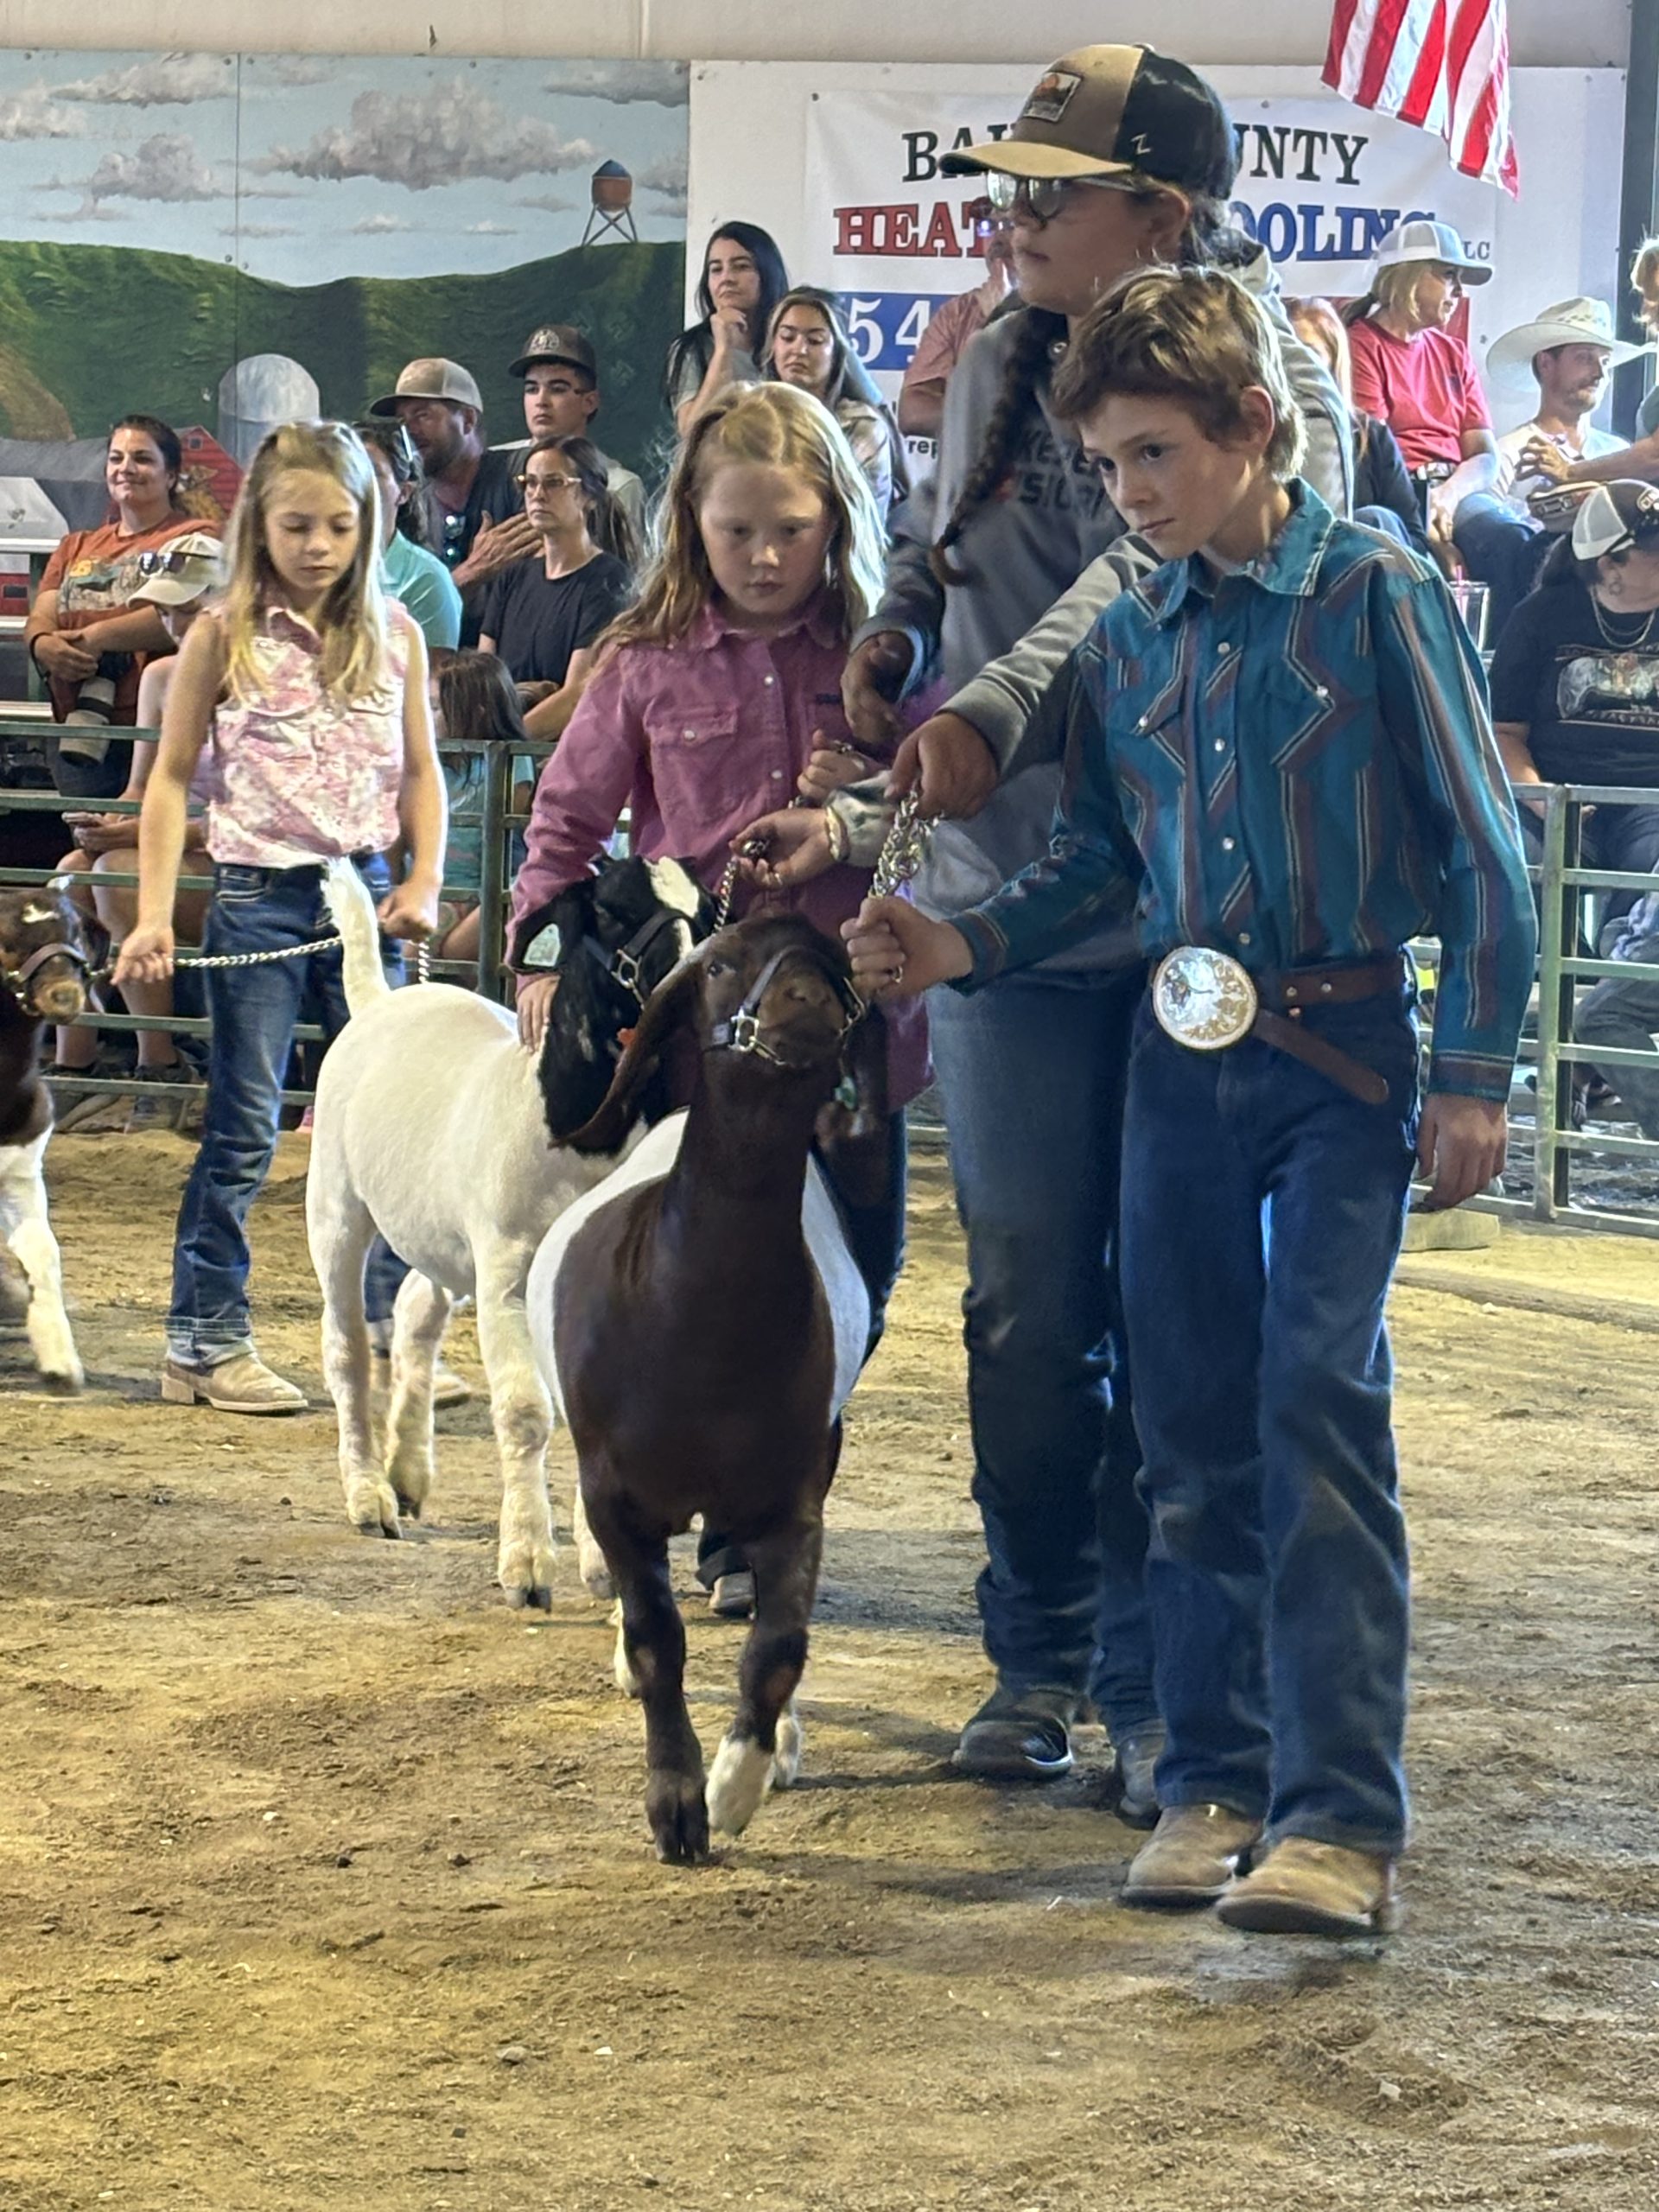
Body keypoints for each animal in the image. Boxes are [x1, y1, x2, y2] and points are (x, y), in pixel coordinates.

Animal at [306, 854, 713, 1607]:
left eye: (706, 912)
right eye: (611, 907)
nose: (690, 979)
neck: (575, 1127)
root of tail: (378, 1001)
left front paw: (602, 1563)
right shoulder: (507, 1277)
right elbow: (526, 1410)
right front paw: (526, 1562)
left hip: (441, 1230)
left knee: (416, 1307)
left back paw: (408, 1473)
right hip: (338, 1207)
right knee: (345, 1347)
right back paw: (369, 1495)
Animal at [526, 912, 875, 1865]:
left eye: (837, 959)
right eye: (719, 966)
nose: (807, 1000)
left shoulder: (795, 1493)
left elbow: (780, 1646)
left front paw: (736, 1784)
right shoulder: (613, 1490)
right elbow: (657, 1639)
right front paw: (676, 1803)